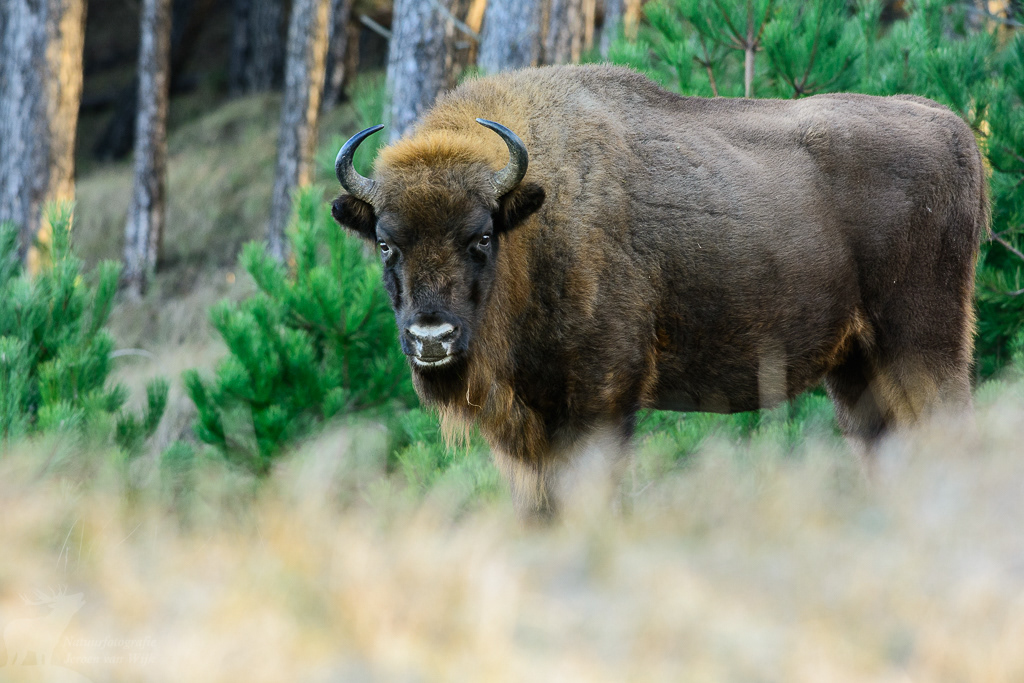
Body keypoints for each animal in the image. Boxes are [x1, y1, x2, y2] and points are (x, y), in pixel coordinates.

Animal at [331, 65, 988, 518]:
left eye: (481, 236)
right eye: (386, 243)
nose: (431, 337)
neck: (536, 216)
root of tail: (955, 131)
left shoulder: (600, 400)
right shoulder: (525, 428)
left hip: (922, 345)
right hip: (855, 367)